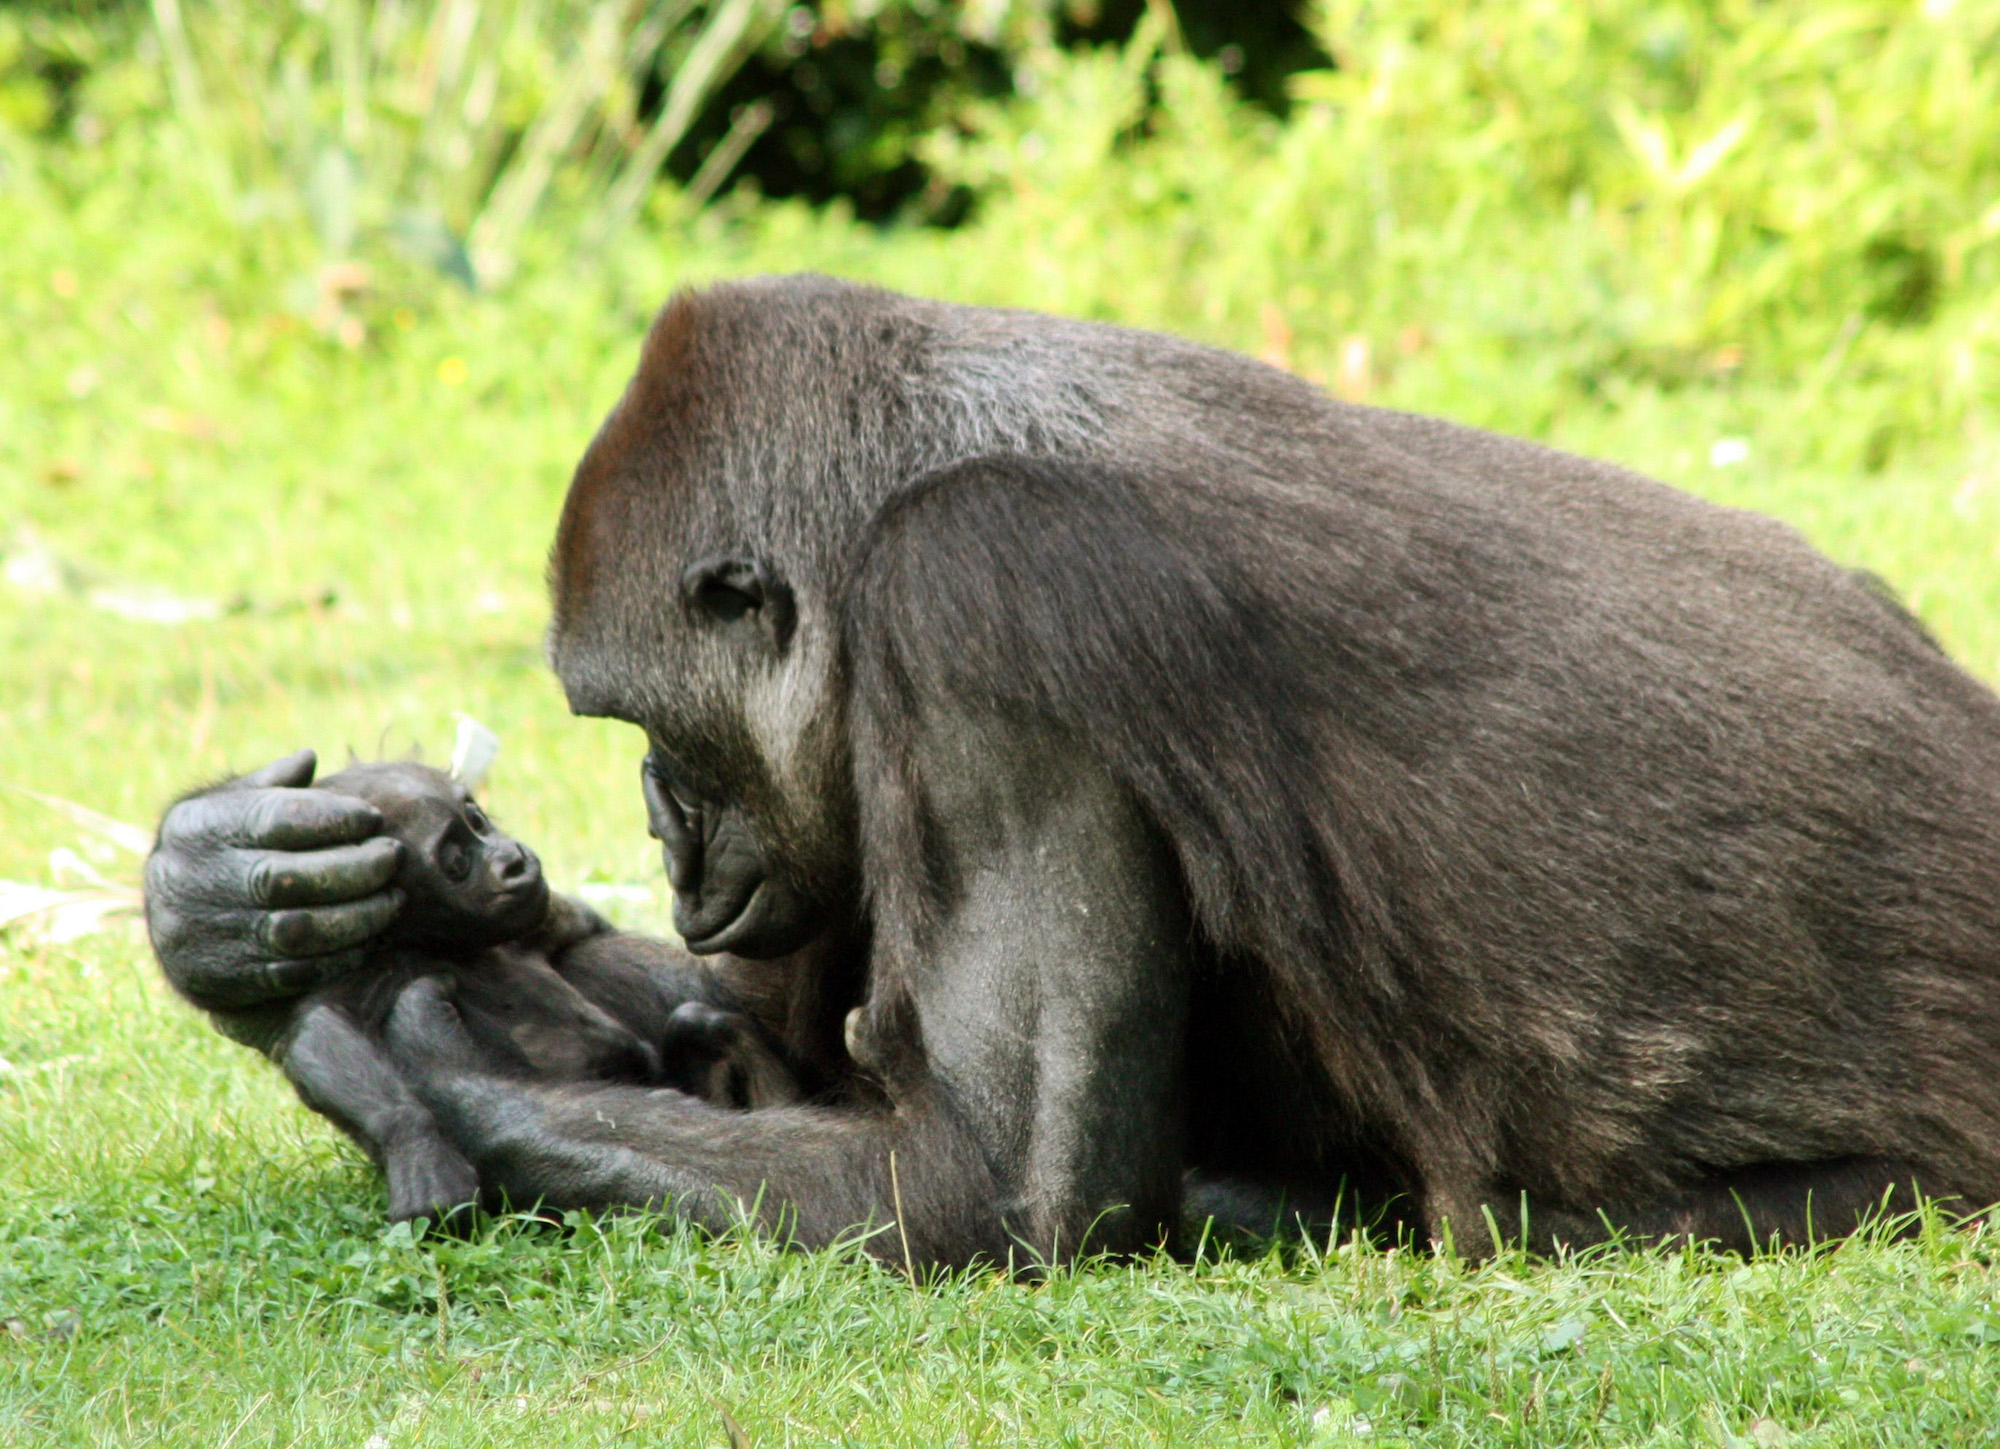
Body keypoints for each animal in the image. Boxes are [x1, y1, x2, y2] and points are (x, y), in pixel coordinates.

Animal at [276, 756, 804, 1224]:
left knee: (702, 1024)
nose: (511, 860)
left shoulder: (547, 916)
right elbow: (322, 1032)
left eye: (476, 820)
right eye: (456, 861)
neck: (462, 946)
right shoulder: (380, 967)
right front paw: (413, 1141)